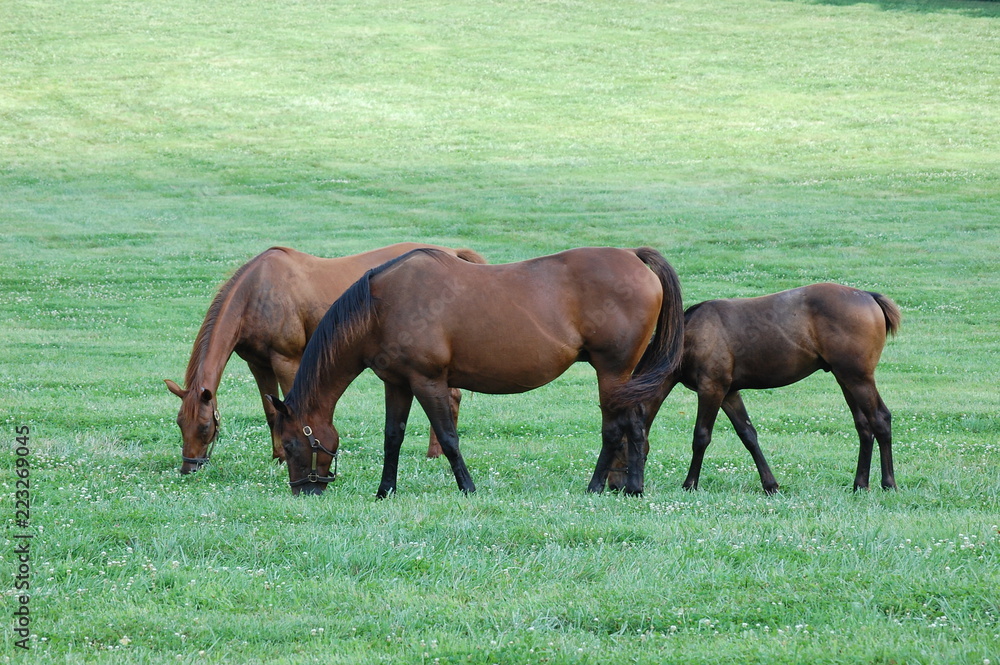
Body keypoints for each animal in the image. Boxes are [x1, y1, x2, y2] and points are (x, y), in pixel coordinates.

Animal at [165, 243, 486, 474]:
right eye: (180, 424)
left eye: (204, 426)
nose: (188, 468)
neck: (257, 292)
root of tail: (452, 253)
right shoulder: (258, 364)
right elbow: (271, 414)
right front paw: (278, 456)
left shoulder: (287, 360)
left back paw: (435, 453)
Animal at [266, 246, 685, 497]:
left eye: (292, 444)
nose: (304, 491)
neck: (380, 307)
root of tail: (633, 257)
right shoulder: (397, 384)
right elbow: (392, 438)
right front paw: (385, 492)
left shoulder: (428, 381)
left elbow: (449, 438)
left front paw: (467, 488)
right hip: (624, 377)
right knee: (636, 425)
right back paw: (633, 487)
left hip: (613, 372)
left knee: (616, 428)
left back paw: (598, 486)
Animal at [608, 283, 900, 494]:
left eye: (620, 445)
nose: (614, 486)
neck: (690, 335)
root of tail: (868, 296)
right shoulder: (728, 393)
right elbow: (748, 435)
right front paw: (770, 485)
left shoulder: (711, 389)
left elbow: (701, 436)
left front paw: (689, 484)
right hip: (845, 379)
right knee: (864, 426)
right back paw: (860, 484)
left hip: (858, 378)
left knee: (880, 419)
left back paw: (889, 483)